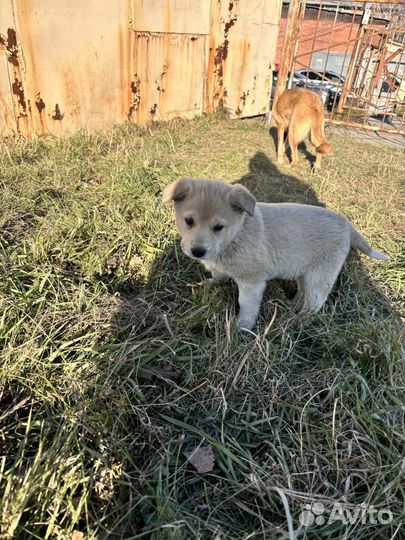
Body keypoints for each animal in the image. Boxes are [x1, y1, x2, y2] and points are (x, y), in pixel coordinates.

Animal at [163, 178, 388, 330]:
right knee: (302, 291)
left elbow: (246, 305)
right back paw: (292, 305)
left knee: (314, 304)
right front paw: (207, 284)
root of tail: (346, 225)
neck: (237, 234)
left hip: (320, 277)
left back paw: (299, 321)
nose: (198, 251)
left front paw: (242, 327)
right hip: (303, 271)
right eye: (189, 221)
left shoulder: (252, 282)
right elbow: (218, 276)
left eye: (218, 227)